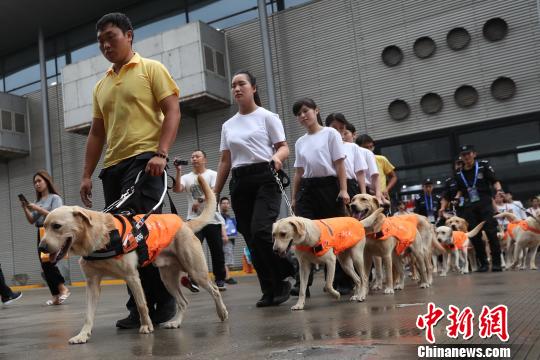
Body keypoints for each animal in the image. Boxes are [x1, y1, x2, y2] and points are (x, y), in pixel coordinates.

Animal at [38, 176, 228, 344]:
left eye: (57, 226)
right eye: (44, 226)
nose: (41, 247)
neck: (101, 238)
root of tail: (184, 224)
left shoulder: (132, 277)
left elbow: (142, 304)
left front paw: (146, 326)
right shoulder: (92, 284)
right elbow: (88, 314)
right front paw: (83, 335)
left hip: (196, 271)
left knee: (214, 290)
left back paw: (222, 313)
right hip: (167, 278)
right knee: (183, 301)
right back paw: (176, 322)